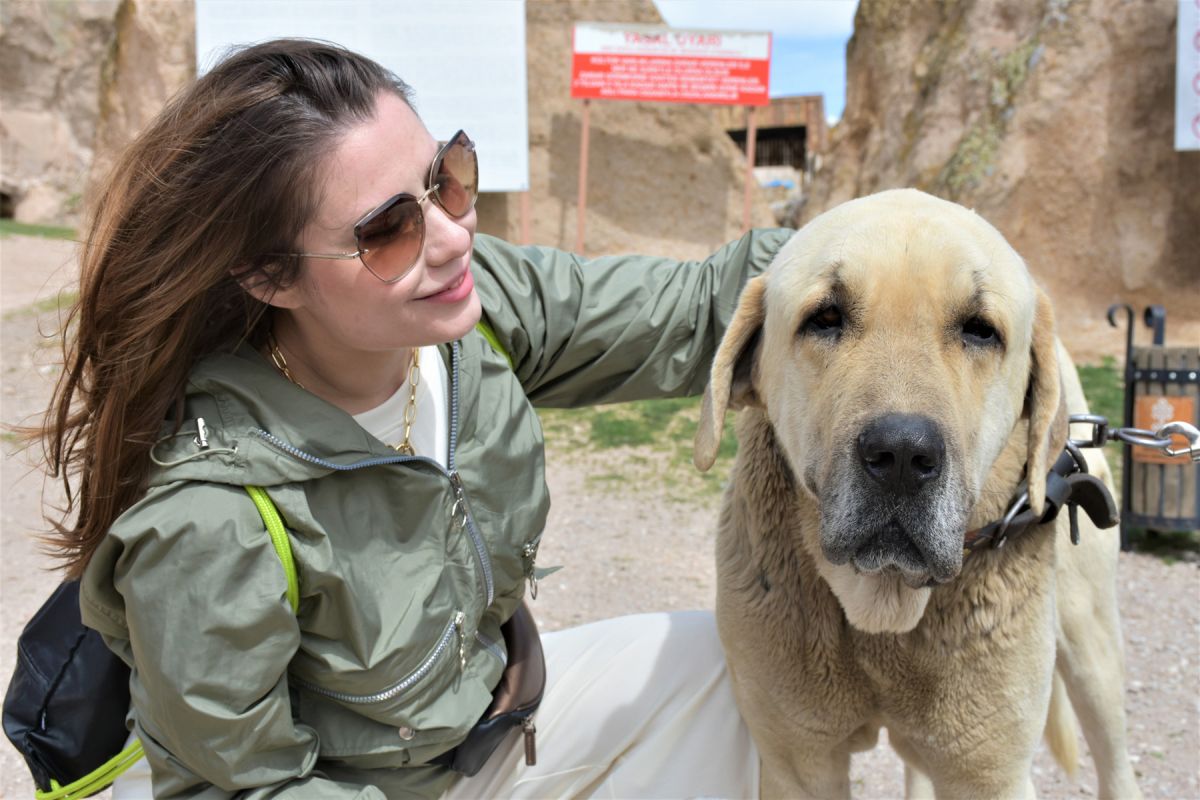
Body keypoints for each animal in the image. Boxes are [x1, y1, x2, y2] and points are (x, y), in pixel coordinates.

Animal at [696, 190, 1132, 796]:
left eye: (980, 330)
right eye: (825, 318)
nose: (901, 456)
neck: (884, 611)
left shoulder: (989, 773)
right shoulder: (795, 762)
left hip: (1091, 643)